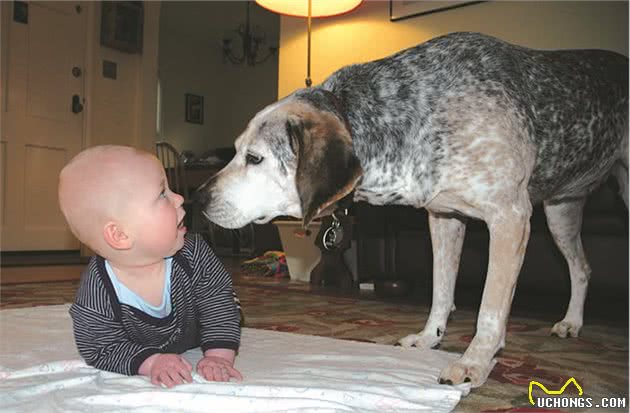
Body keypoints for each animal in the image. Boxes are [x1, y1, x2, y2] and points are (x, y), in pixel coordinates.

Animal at [199, 32, 630, 386]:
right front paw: (429, 337)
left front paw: (475, 362)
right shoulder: (443, 219)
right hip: (561, 212)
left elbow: (490, 308)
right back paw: (571, 322)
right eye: (235, 151)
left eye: (255, 158)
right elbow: (441, 289)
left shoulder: (509, 218)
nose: (199, 198)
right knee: (582, 268)